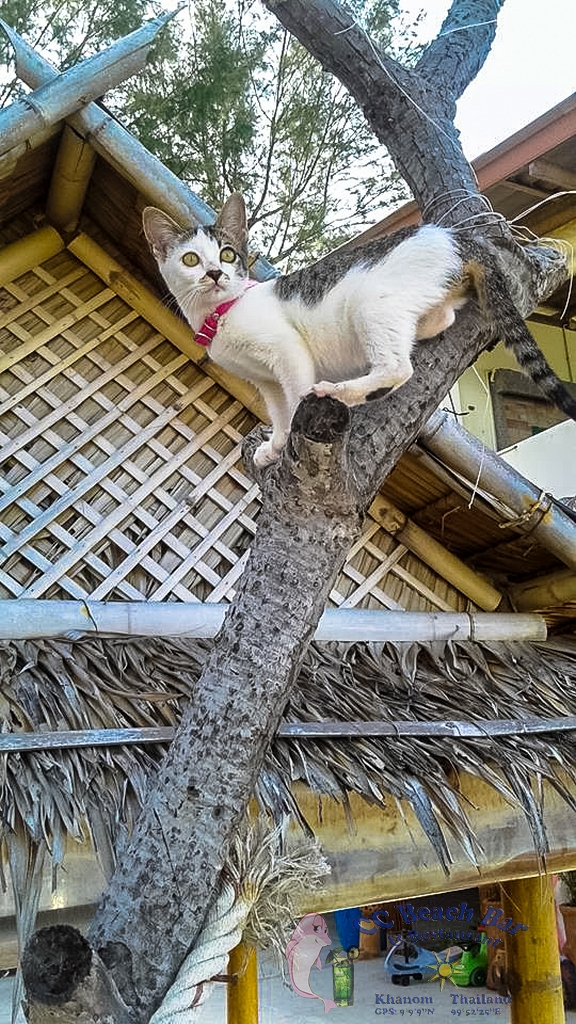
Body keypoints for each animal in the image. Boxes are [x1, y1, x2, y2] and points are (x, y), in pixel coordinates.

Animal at [143, 193, 576, 467]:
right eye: (191, 259)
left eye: (228, 254)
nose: (215, 273)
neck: (224, 313)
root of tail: (459, 236)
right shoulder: (264, 381)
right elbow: (279, 411)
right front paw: (274, 446)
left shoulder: (287, 351)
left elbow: (295, 395)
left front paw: (291, 437)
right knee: (439, 322)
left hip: (372, 300)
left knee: (398, 368)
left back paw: (340, 392)